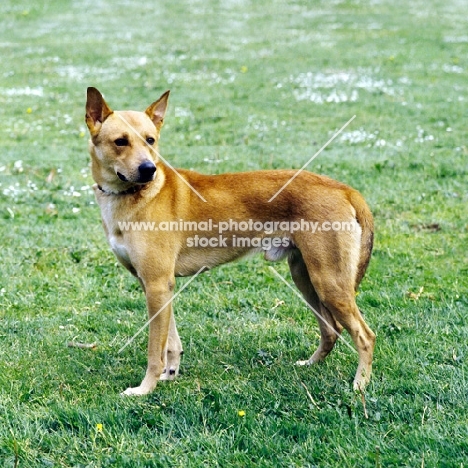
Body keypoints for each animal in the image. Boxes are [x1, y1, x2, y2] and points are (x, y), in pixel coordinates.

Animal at [85, 88, 376, 394]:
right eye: (120, 142)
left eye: (150, 140)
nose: (148, 169)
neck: (133, 196)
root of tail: (344, 189)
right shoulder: (156, 287)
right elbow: (171, 342)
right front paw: (169, 374)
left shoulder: (156, 285)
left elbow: (155, 351)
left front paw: (145, 389)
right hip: (305, 277)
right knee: (331, 329)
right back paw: (311, 365)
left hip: (329, 282)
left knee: (365, 335)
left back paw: (359, 385)